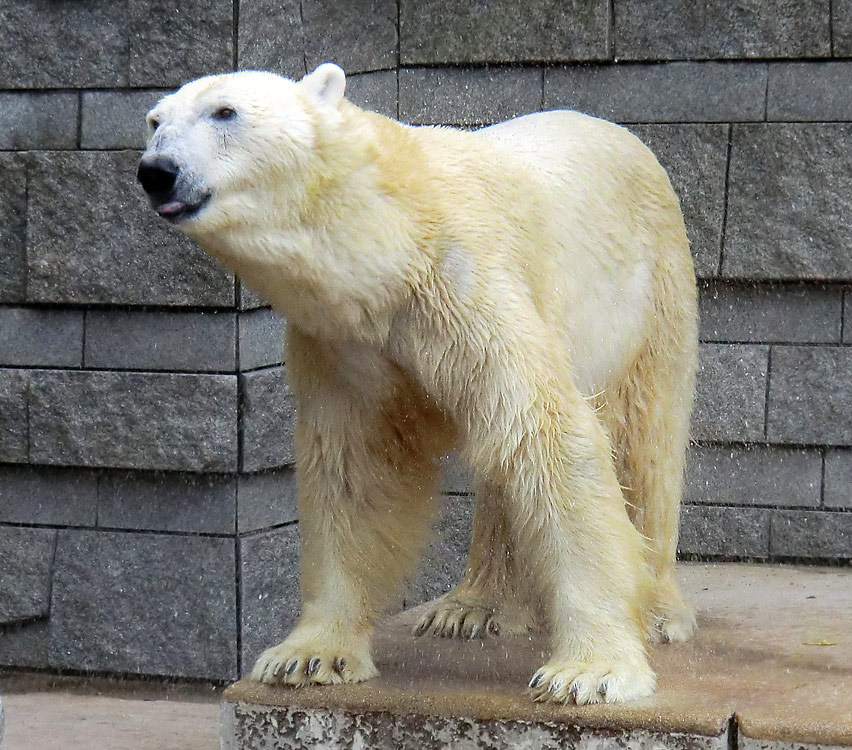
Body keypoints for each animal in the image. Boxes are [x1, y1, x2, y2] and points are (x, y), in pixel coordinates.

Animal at [140, 63, 696, 704]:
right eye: (154, 120)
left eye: (225, 112)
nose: (156, 171)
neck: (391, 239)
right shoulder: (342, 343)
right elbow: (356, 471)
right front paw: (308, 655)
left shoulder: (467, 286)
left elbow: (549, 434)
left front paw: (589, 671)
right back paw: (471, 608)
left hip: (652, 295)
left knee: (643, 445)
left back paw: (658, 609)